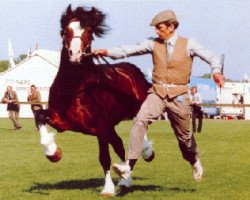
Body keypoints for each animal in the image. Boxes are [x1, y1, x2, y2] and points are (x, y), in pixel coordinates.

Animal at [37, 4, 154, 197]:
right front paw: (53, 153)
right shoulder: (62, 121)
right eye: (67, 30)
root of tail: (133, 70)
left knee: (137, 134)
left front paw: (107, 189)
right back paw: (125, 178)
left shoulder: (101, 127)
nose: (75, 55)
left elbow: (104, 157)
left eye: (89, 31)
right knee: (120, 146)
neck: (75, 88)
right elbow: (39, 115)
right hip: (111, 126)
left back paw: (145, 153)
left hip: (131, 114)